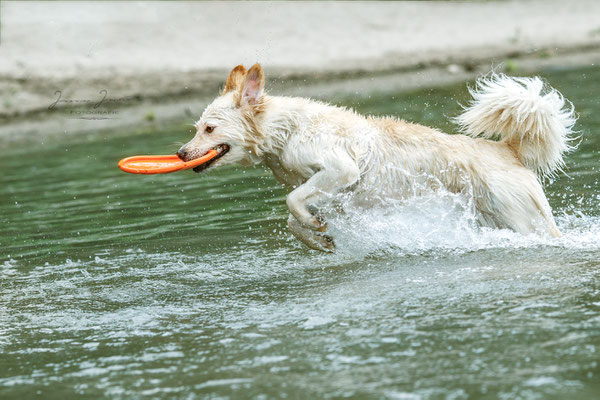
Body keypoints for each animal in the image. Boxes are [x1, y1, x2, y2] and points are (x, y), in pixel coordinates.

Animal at [177, 63, 576, 252]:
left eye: (209, 129)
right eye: (196, 127)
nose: (180, 153)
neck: (285, 130)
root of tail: (507, 148)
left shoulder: (341, 169)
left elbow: (292, 202)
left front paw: (313, 228)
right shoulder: (329, 190)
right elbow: (294, 216)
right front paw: (319, 238)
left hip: (524, 220)